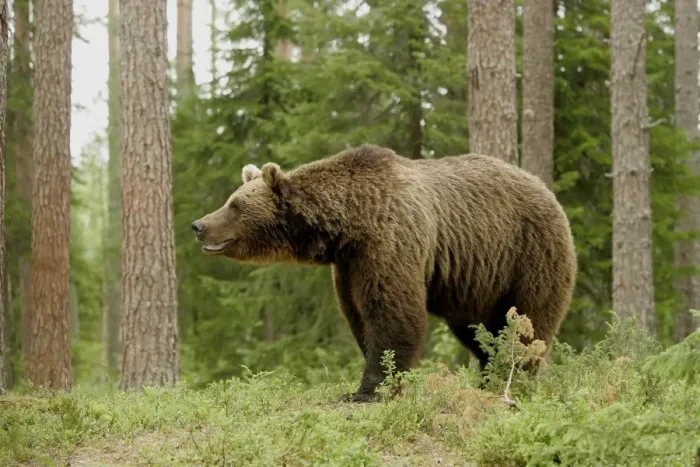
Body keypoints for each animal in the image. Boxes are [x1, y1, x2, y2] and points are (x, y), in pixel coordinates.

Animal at [191, 144, 577, 402]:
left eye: (235, 205)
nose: (198, 225)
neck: (348, 225)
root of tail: (547, 190)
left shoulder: (389, 242)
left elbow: (393, 313)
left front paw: (368, 390)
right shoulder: (349, 265)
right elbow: (360, 316)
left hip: (528, 255)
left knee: (527, 324)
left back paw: (513, 380)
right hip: (478, 284)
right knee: (479, 332)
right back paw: (488, 379)